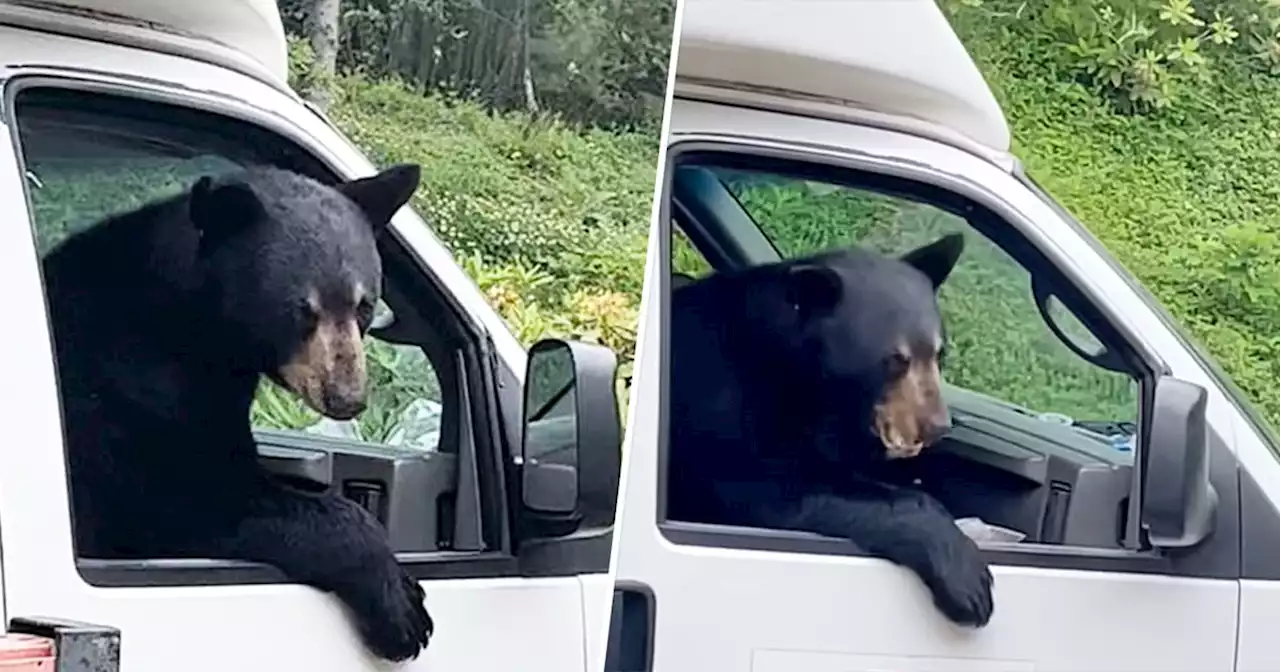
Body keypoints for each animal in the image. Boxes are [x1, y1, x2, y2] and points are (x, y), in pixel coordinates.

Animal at [42, 162, 432, 660]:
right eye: (302, 308)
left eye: (364, 304)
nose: (346, 396)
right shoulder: (127, 391)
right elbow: (189, 497)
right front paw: (403, 606)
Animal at [665, 232, 993, 627]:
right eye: (895, 360)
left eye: (938, 353)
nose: (937, 426)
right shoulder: (723, 401)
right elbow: (770, 489)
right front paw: (969, 580)